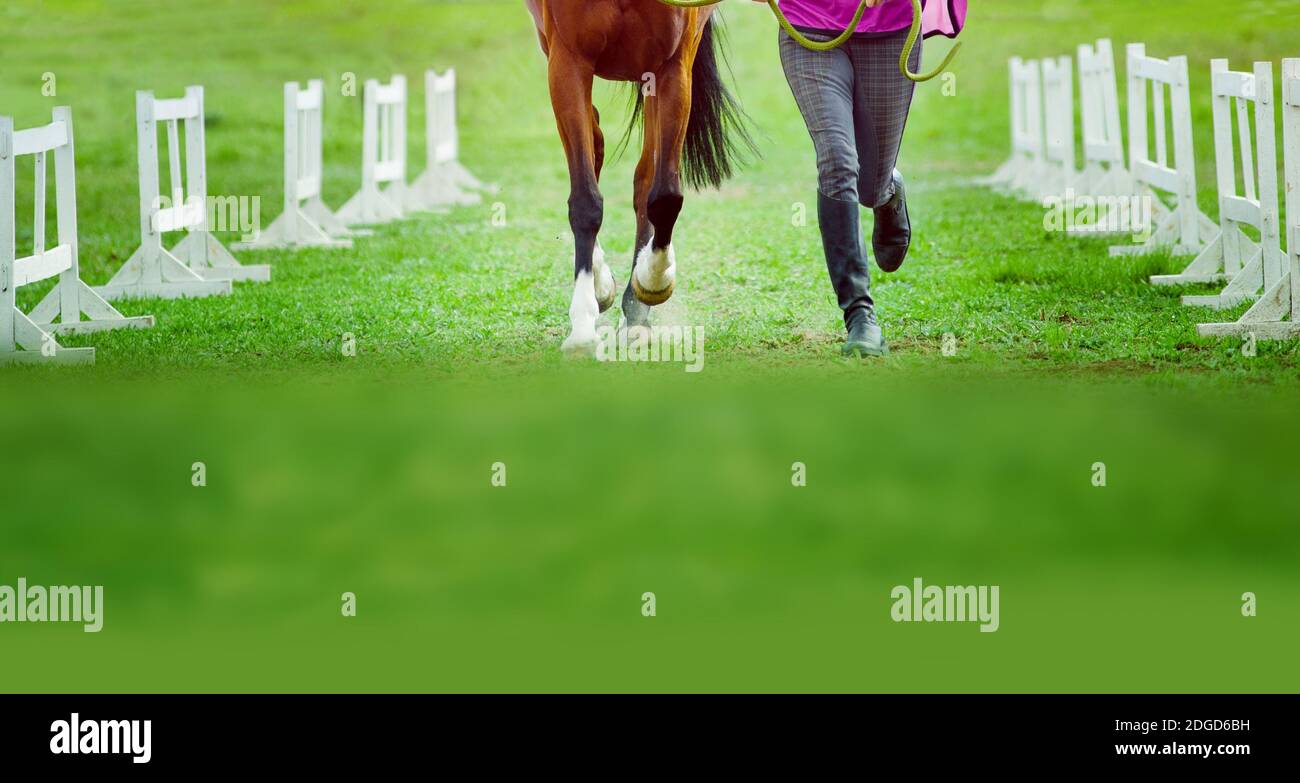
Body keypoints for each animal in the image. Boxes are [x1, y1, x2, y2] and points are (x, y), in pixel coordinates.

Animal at [525, 0, 754, 353]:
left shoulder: (672, 68)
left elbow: (664, 197)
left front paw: (652, 281)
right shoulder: (566, 62)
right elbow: (585, 200)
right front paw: (582, 326)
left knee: (644, 178)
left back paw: (636, 312)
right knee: (596, 144)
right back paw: (602, 287)